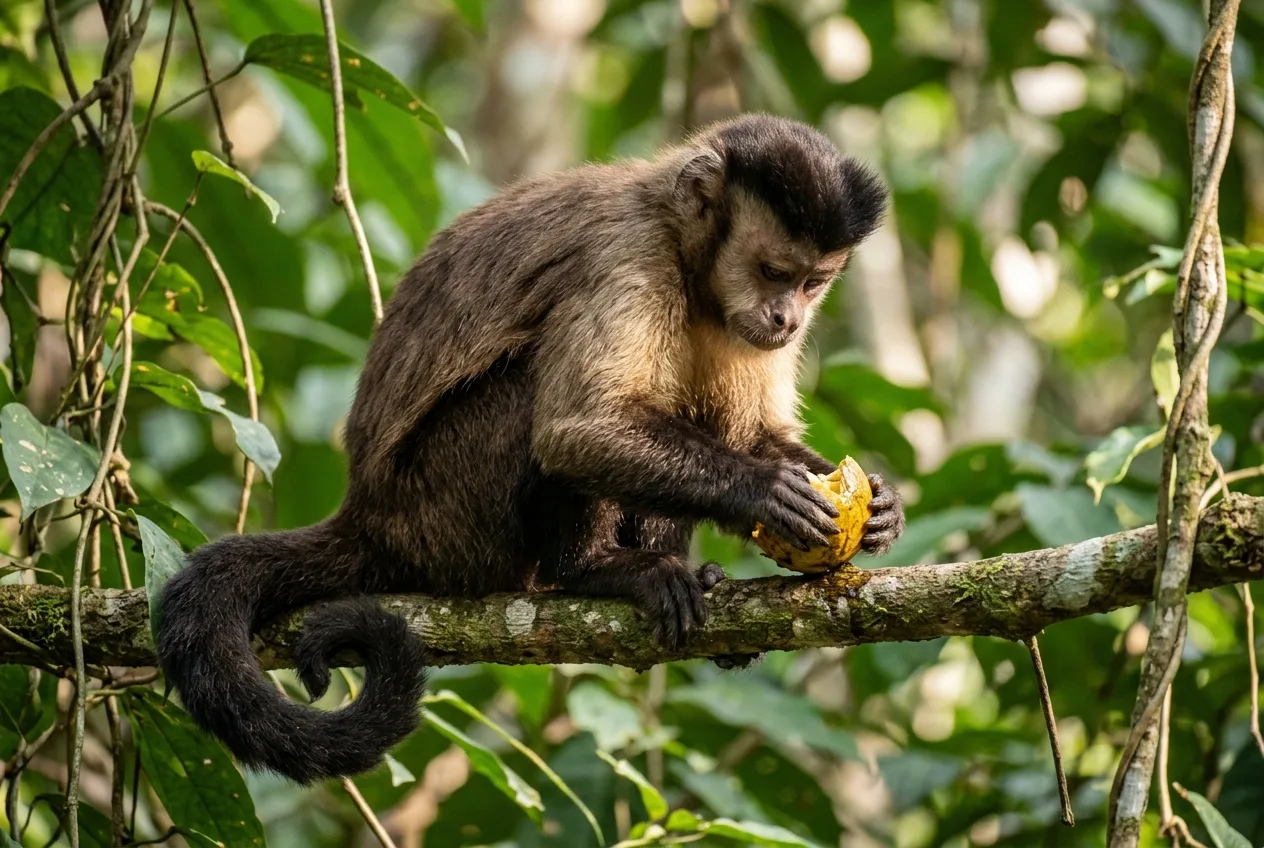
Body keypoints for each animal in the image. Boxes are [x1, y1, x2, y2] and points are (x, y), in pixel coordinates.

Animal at [155, 112, 905, 786]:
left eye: (813, 283)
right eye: (773, 271)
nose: (789, 319)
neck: (690, 266)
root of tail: (369, 514)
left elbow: (751, 436)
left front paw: (880, 504)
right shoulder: (626, 255)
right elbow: (577, 430)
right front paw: (762, 492)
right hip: (445, 513)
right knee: (532, 391)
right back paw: (594, 570)